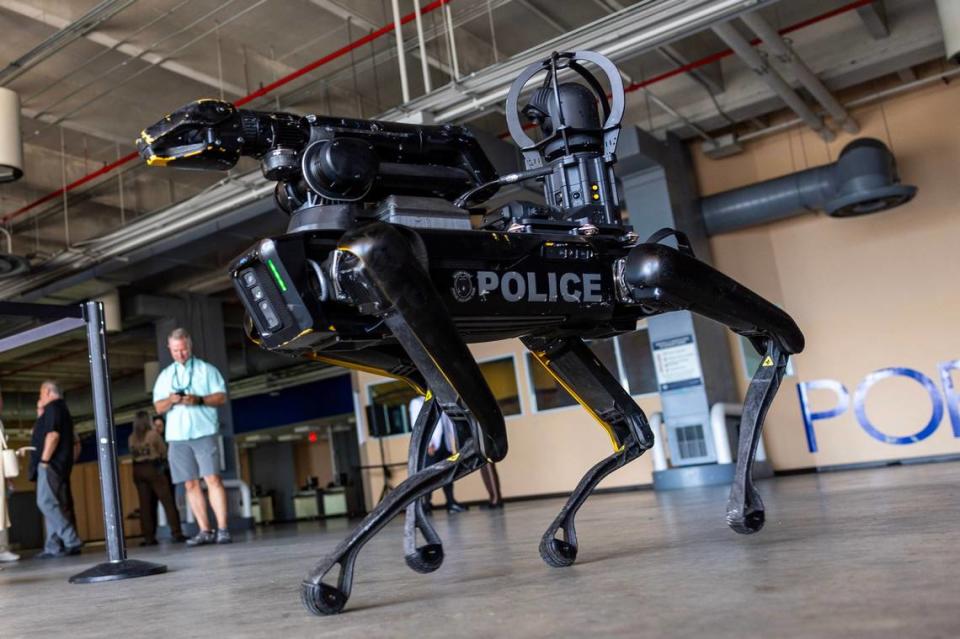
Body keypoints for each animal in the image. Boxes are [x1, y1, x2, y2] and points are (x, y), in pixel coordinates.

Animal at [139, 51, 808, 616]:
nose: (161, 134)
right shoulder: (394, 304)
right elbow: (458, 433)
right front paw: (391, 555)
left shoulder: (401, 282)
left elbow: (466, 436)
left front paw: (338, 575)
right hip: (559, 329)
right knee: (619, 427)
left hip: (620, 290)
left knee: (742, 342)